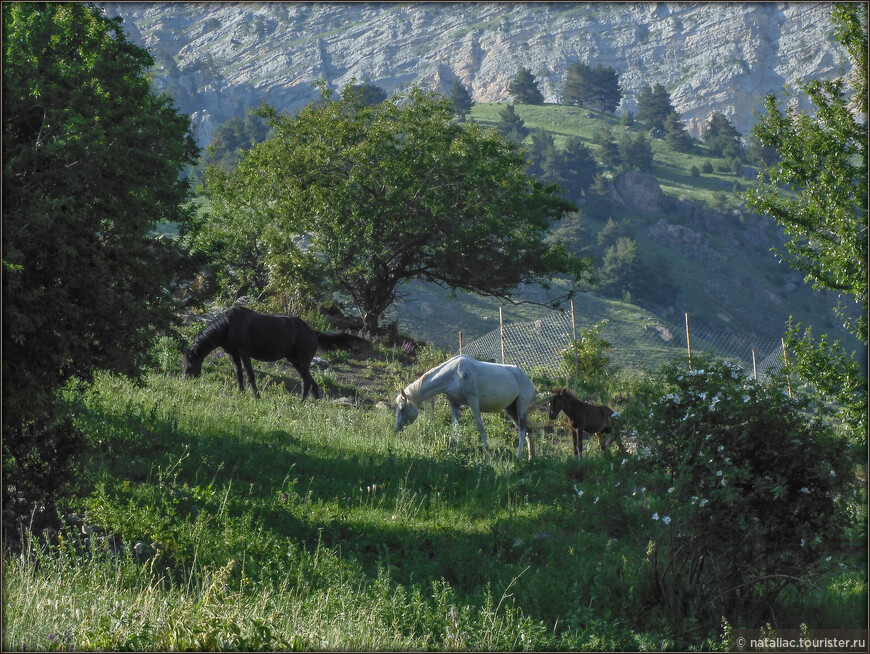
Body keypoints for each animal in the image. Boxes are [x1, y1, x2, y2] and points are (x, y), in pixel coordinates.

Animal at [184, 310, 368, 402]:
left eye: (190, 361)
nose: (187, 378)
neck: (228, 325)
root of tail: (314, 333)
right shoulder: (233, 354)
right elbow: (238, 374)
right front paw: (240, 392)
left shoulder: (244, 353)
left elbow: (250, 375)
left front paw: (256, 396)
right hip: (296, 362)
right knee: (313, 383)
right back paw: (314, 405)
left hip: (302, 363)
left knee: (306, 382)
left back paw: (301, 403)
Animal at [396, 356, 540, 458]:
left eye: (402, 408)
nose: (397, 429)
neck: (454, 374)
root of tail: (528, 379)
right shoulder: (453, 404)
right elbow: (455, 427)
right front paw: (455, 447)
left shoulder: (473, 401)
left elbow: (480, 425)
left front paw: (487, 450)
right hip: (511, 410)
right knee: (528, 432)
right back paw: (530, 458)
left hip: (521, 407)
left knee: (522, 431)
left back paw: (518, 456)